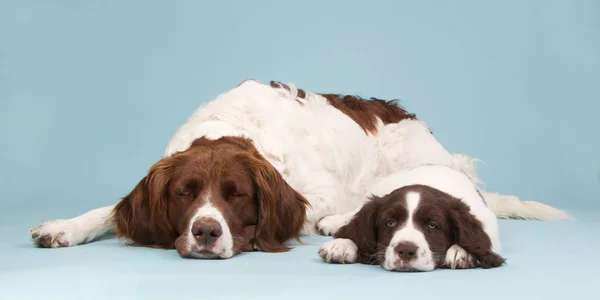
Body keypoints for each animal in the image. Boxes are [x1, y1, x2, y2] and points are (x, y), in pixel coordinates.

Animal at [29, 79, 572, 260]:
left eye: (237, 194)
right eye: (184, 193)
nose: (206, 232)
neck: (231, 127)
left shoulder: (315, 194)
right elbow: (107, 210)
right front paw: (64, 226)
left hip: (411, 163)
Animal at [316, 164, 504, 272]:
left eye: (432, 225)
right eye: (389, 223)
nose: (406, 251)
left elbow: (476, 242)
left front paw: (462, 251)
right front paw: (342, 244)